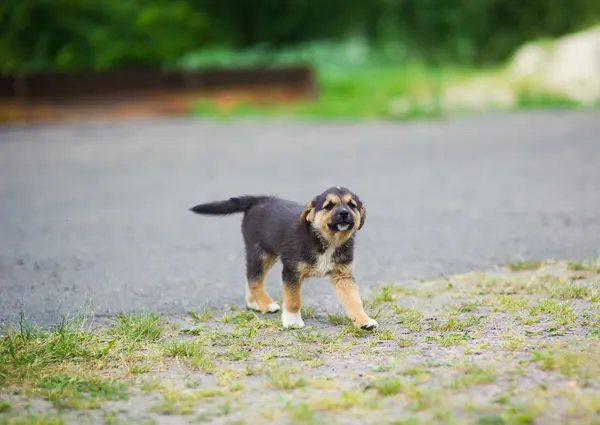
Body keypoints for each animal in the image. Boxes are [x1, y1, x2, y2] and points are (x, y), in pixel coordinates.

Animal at [189, 186, 376, 332]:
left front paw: (364, 320)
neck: (328, 240)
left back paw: (254, 303)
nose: (344, 213)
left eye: (352, 205)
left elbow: (354, 301)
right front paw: (292, 321)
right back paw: (266, 304)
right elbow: (293, 300)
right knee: (254, 279)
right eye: (328, 206)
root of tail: (259, 199)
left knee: (251, 277)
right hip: (260, 253)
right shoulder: (291, 271)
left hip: (269, 255)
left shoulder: (343, 275)